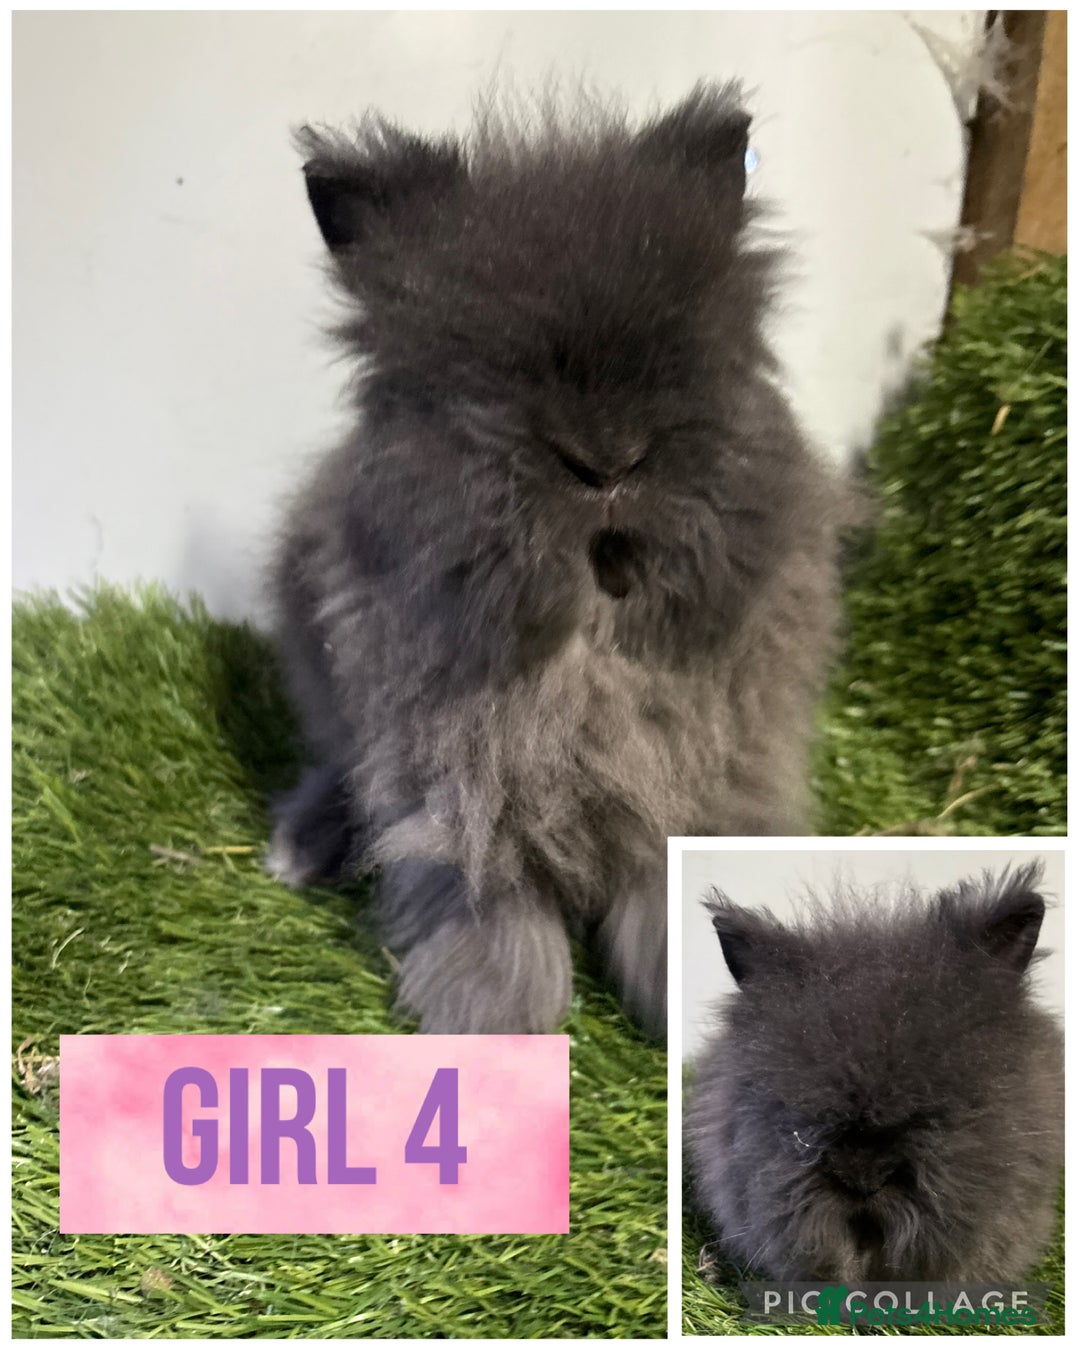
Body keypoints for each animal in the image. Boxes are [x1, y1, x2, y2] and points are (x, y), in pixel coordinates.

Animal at [266, 83, 847, 1036]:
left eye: (698, 355)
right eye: (477, 379)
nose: (607, 462)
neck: (591, 649)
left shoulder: (697, 789)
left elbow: (659, 897)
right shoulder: (453, 802)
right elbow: (492, 913)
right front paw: (490, 1024)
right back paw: (298, 849)